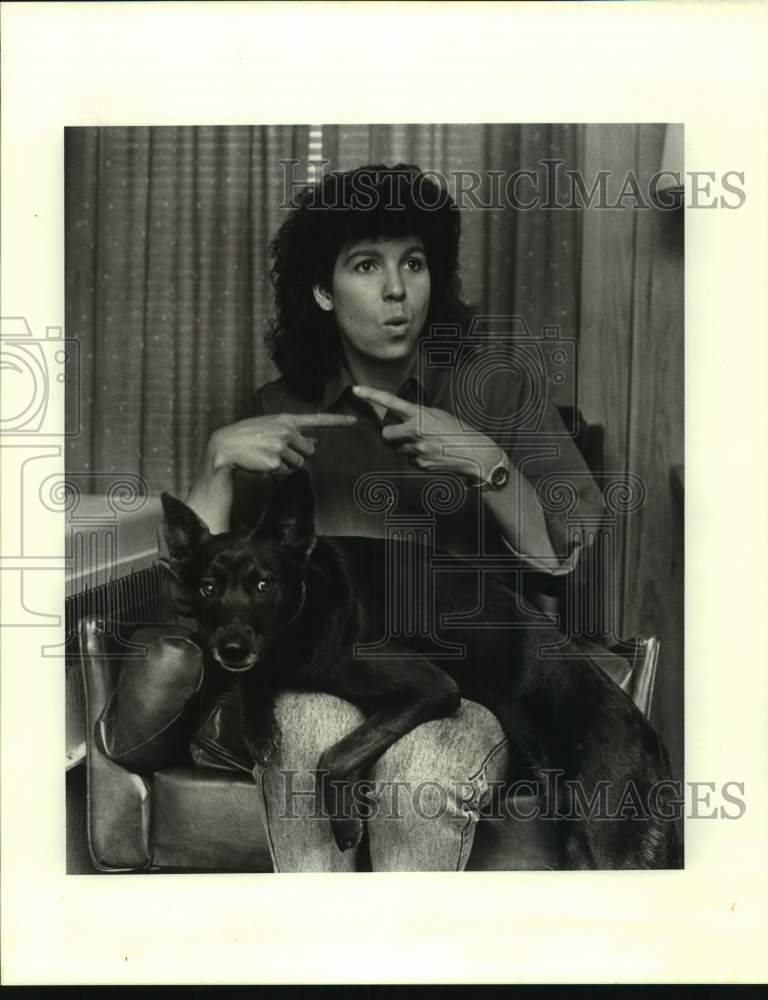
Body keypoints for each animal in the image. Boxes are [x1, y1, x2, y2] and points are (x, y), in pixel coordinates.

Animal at [160, 468, 680, 868]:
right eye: (208, 588)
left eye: (264, 585)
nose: (229, 648)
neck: (311, 606)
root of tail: (649, 734)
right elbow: (257, 679)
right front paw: (258, 724)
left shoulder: (432, 688)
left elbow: (334, 756)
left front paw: (344, 823)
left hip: (608, 841)